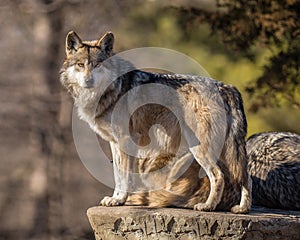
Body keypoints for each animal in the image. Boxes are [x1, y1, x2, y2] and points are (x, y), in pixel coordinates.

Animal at [59, 31, 252, 213]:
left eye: (97, 65)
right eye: (80, 65)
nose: (88, 81)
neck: (110, 90)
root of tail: (227, 87)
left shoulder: (125, 141)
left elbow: (124, 176)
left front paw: (119, 200)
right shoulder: (115, 143)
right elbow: (118, 175)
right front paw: (115, 198)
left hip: (201, 148)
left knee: (218, 176)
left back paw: (208, 206)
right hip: (225, 151)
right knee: (245, 176)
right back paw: (242, 209)